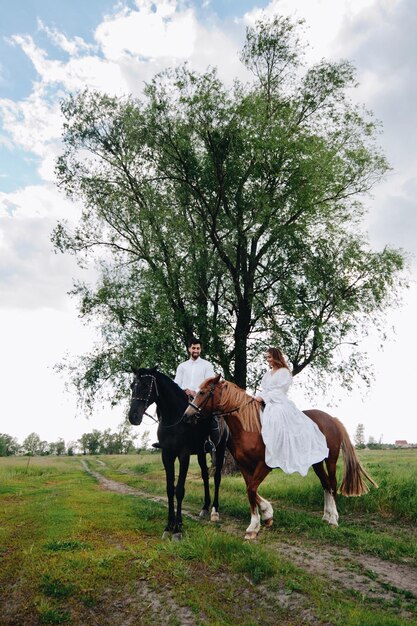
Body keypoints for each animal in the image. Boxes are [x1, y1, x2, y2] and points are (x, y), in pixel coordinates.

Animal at [128, 366, 229, 536]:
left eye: (146, 386)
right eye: (131, 386)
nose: (133, 417)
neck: (176, 419)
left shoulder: (184, 455)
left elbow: (179, 490)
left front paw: (177, 528)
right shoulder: (167, 455)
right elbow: (170, 489)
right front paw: (168, 526)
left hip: (220, 449)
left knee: (217, 477)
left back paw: (215, 511)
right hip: (201, 453)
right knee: (205, 476)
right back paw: (205, 508)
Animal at [184, 372, 376, 540]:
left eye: (202, 392)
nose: (187, 415)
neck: (249, 428)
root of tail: (332, 419)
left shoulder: (264, 465)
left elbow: (251, 490)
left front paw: (261, 520)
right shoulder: (245, 466)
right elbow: (250, 492)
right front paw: (259, 521)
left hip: (331, 460)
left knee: (333, 485)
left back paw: (334, 519)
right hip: (317, 463)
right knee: (326, 485)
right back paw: (327, 516)